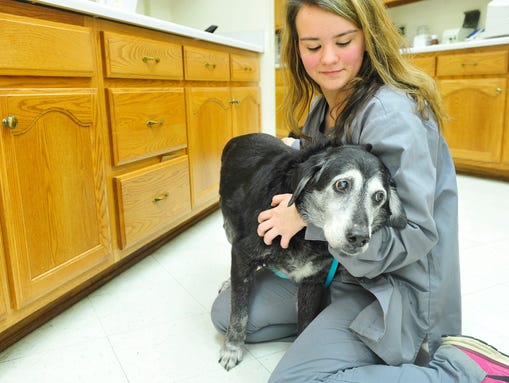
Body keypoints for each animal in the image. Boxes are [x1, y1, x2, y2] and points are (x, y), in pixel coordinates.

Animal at [217, 134, 404, 370]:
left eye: (379, 196)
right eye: (342, 184)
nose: (360, 237)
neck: (304, 235)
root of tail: (243, 136)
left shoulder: (313, 281)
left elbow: (305, 321)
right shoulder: (243, 252)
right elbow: (238, 311)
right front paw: (232, 348)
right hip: (229, 227)